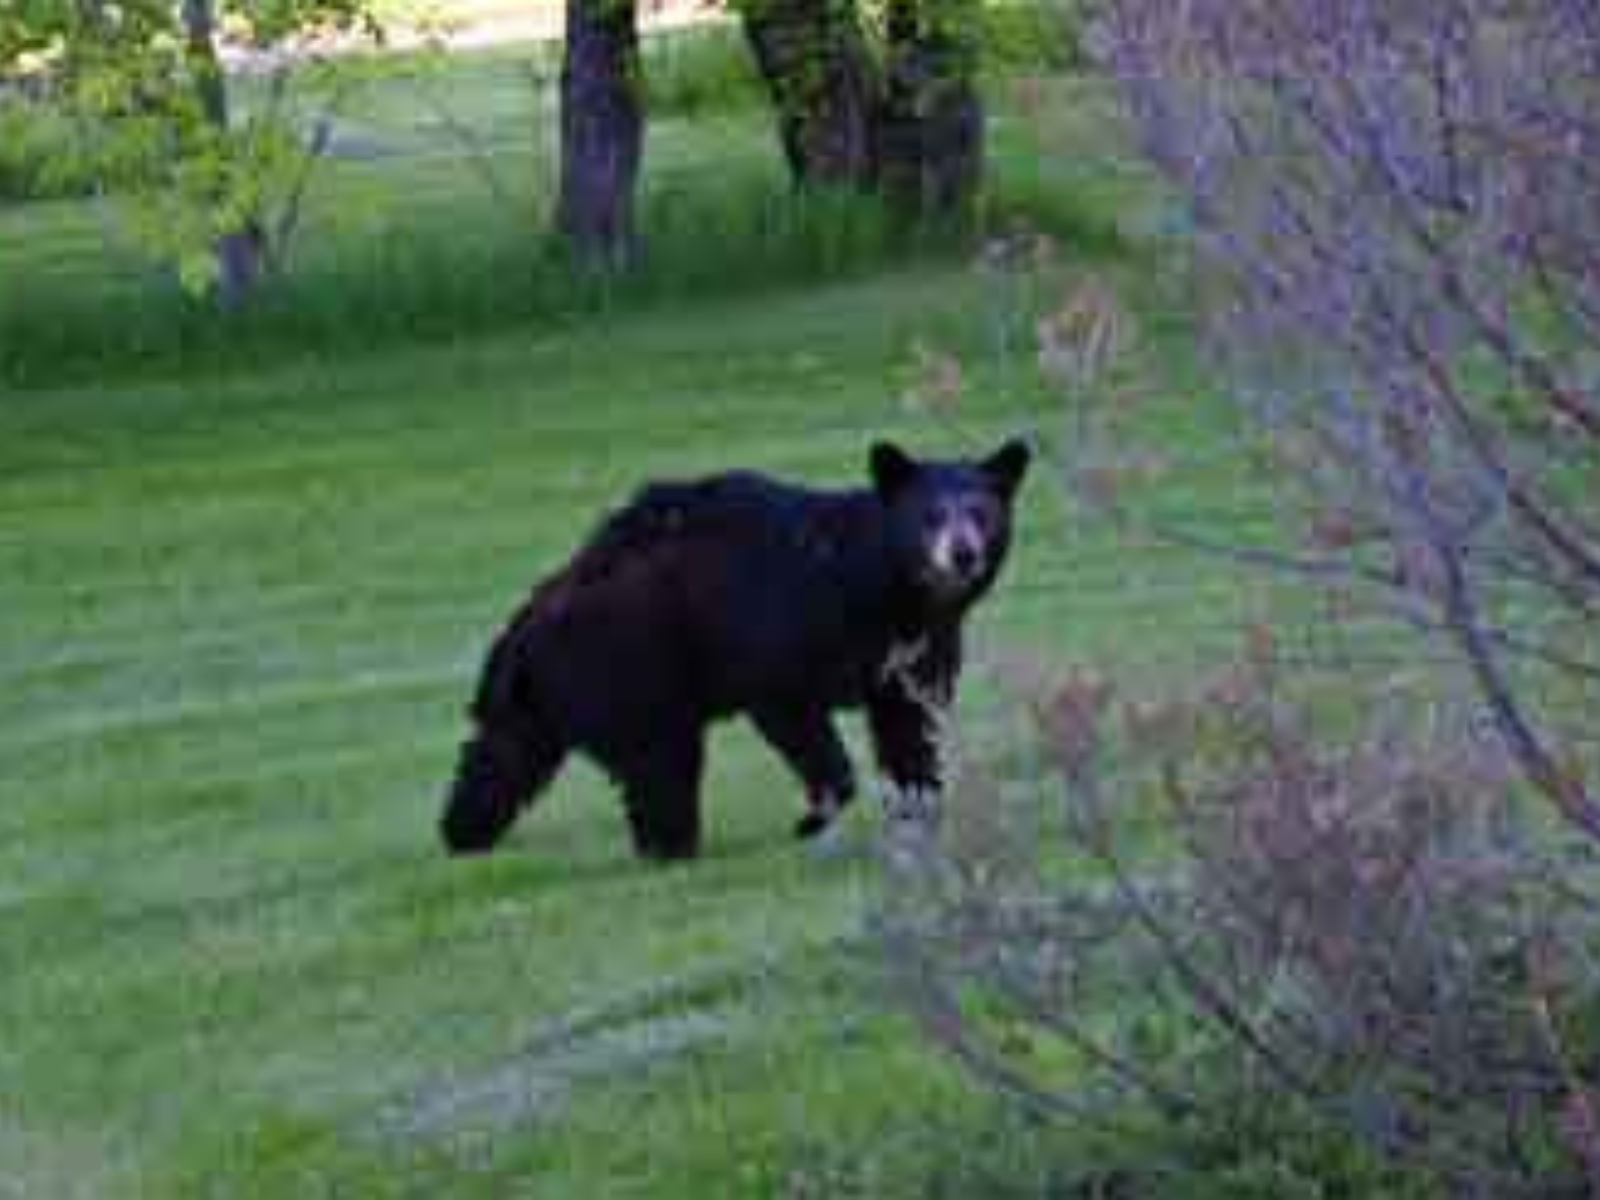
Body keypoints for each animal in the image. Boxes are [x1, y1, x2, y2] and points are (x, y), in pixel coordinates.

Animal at [444, 441, 1030, 864]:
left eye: (981, 511)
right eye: (930, 515)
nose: (963, 553)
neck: (889, 589)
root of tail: (530, 619)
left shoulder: (913, 651)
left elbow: (909, 723)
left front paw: (919, 812)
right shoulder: (784, 631)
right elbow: (796, 716)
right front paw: (814, 819)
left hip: (547, 695)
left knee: (503, 752)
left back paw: (463, 831)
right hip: (631, 663)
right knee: (661, 763)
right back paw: (669, 846)